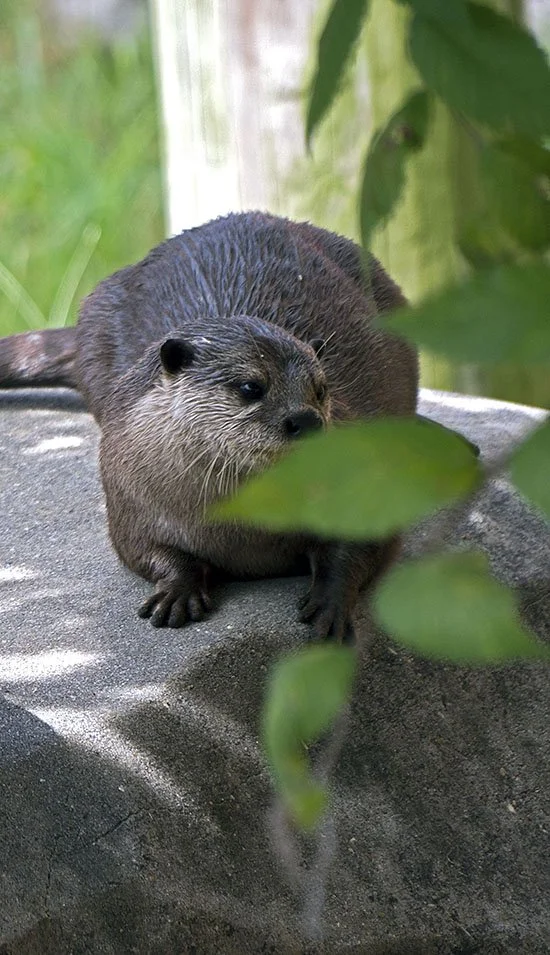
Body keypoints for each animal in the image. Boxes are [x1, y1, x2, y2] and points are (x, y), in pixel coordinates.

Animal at [0, 212, 418, 641]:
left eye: (321, 389)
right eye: (251, 387)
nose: (306, 419)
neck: (247, 530)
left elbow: (361, 543)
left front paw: (330, 603)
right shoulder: (129, 499)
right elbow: (143, 549)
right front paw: (177, 590)